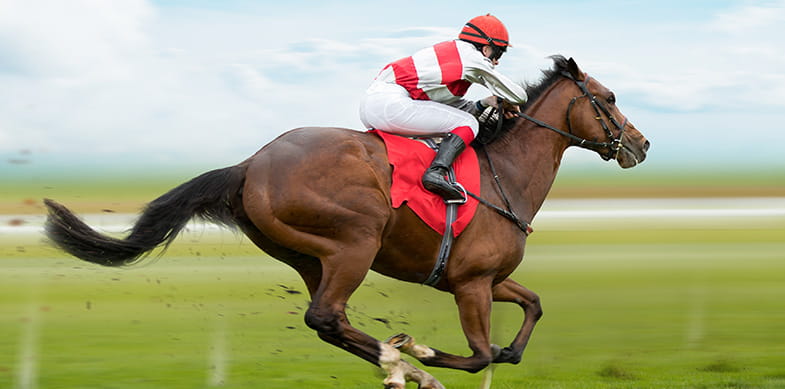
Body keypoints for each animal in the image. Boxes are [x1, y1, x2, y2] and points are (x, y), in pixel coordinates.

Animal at [46, 55, 652, 388]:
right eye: (609, 98)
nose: (641, 144)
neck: (506, 174)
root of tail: (250, 164)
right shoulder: (471, 284)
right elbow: (480, 355)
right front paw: (424, 352)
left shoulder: (486, 278)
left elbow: (532, 308)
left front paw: (489, 352)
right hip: (355, 242)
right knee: (326, 316)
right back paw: (403, 361)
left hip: (309, 256)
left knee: (329, 321)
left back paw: (397, 363)